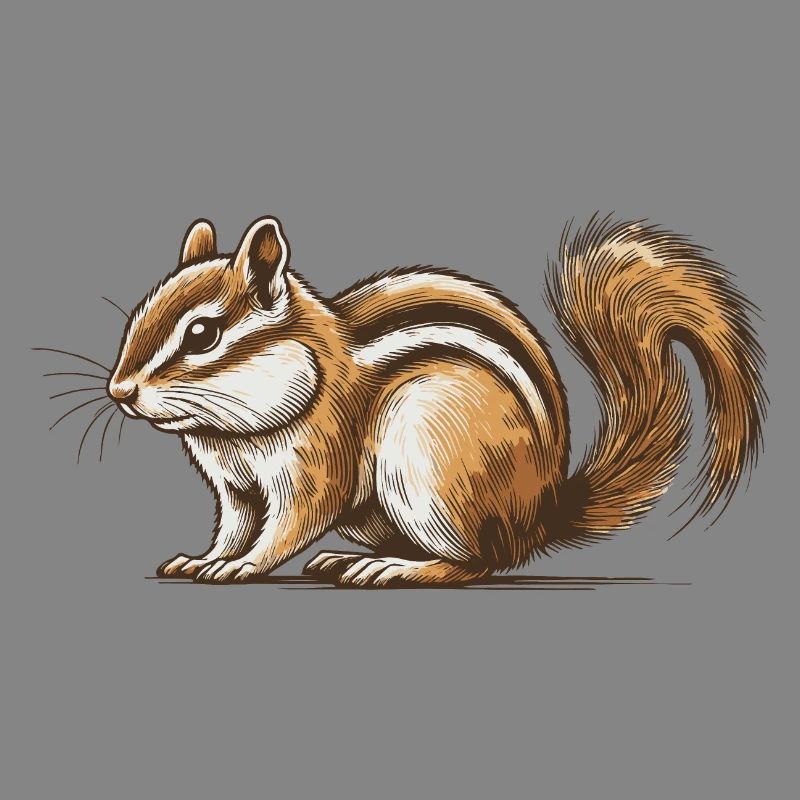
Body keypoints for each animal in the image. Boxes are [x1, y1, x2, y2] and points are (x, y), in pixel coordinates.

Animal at [106, 214, 766, 585]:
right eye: (137, 315)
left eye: (202, 334)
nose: (119, 391)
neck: (231, 432)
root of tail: (540, 513)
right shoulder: (235, 488)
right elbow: (235, 526)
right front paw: (204, 559)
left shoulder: (317, 463)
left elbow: (292, 524)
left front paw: (243, 566)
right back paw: (347, 561)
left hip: (429, 468)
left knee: (476, 563)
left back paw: (397, 569)